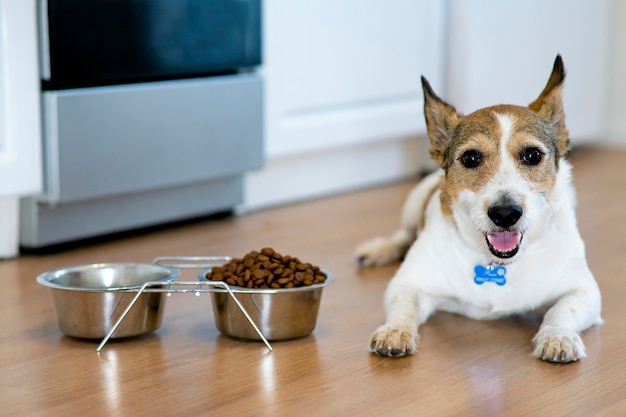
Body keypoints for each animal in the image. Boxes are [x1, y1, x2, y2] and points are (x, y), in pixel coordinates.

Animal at [358, 55, 604, 360]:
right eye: (471, 158)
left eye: (532, 155)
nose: (505, 214)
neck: (497, 264)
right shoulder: (409, 282)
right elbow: (404, 306)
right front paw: (395, 330)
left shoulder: (584, 290)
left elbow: (561, 310)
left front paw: (558, 336)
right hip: (415, 199)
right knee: (403, 236)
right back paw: (378, 250)